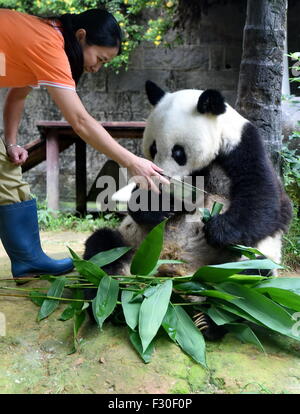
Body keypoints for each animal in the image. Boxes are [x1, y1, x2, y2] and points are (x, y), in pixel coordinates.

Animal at [83, 81, 292, 340]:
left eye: (178, 152)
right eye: (153, 148)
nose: (163, 178)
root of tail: (171, 278)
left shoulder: (244, 150)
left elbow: (266, 201)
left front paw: (217, 230)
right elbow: (138, 198)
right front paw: (161, 207)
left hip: (235, 266)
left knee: (247, 281)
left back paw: (209, 321)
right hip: (132, 245)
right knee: (103, 248)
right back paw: (105, 300)